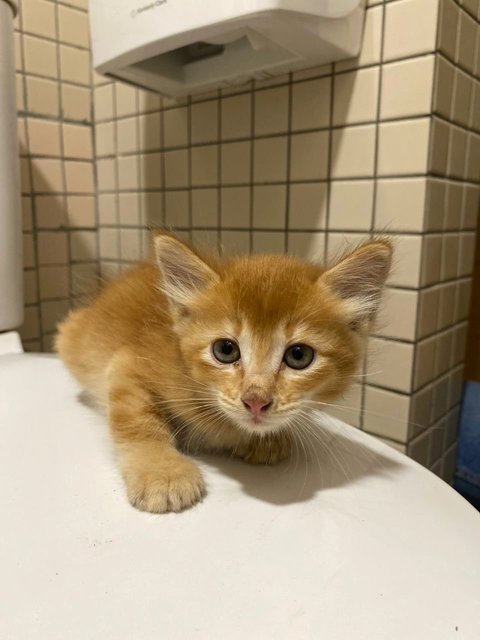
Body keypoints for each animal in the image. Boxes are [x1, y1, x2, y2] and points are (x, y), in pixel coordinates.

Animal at [57, 235, 394, 516]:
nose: (255, 401)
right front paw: (162, 473)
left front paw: (266, 441)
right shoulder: (126, 364)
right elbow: (138, 422)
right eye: (225, 350)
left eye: (299, 356)